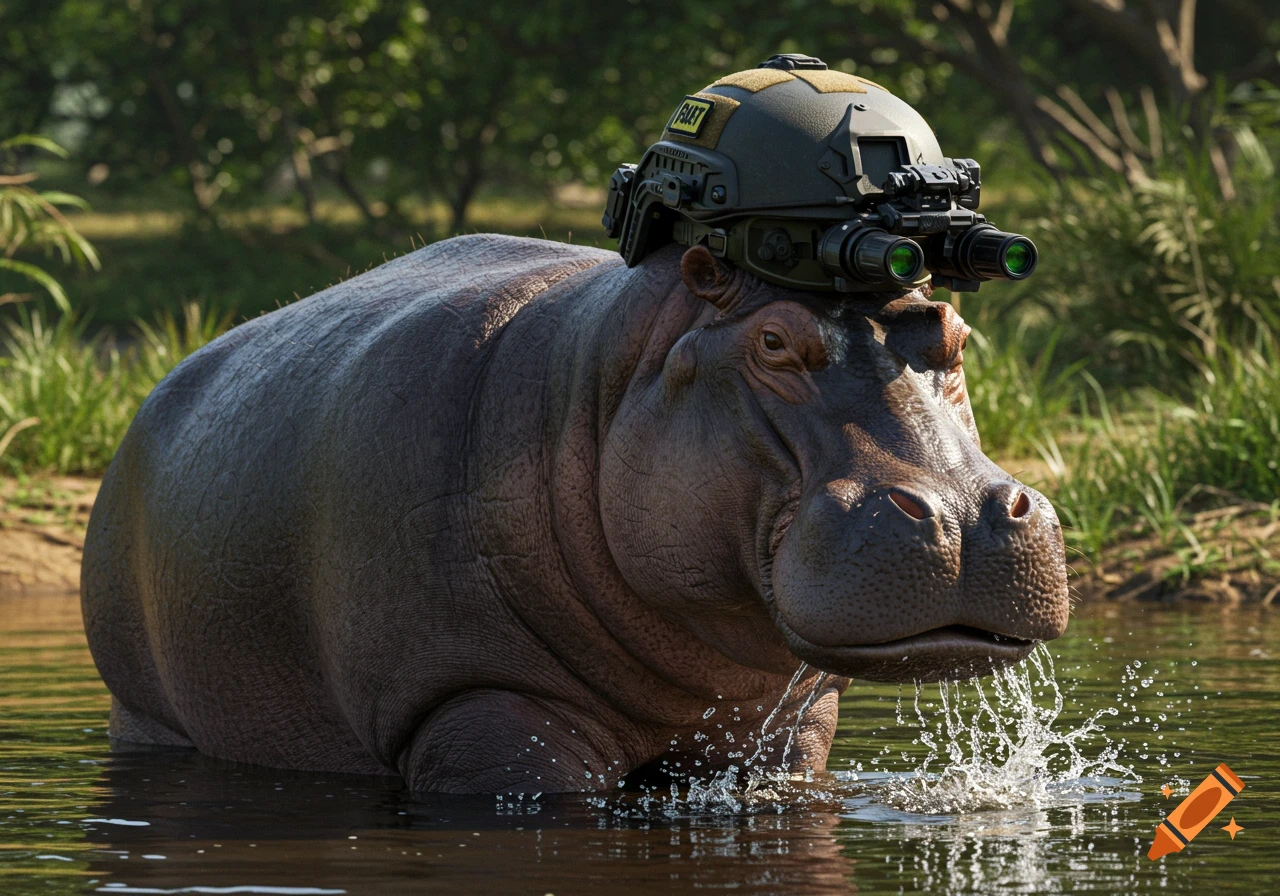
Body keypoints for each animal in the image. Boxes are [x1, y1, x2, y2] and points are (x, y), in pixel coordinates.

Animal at [81, 234, 1069, 793]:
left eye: (957, 336)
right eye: (773, 342)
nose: (960, 514)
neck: (612, 375)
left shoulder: (785, 727)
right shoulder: (484, 707)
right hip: (148, 715)